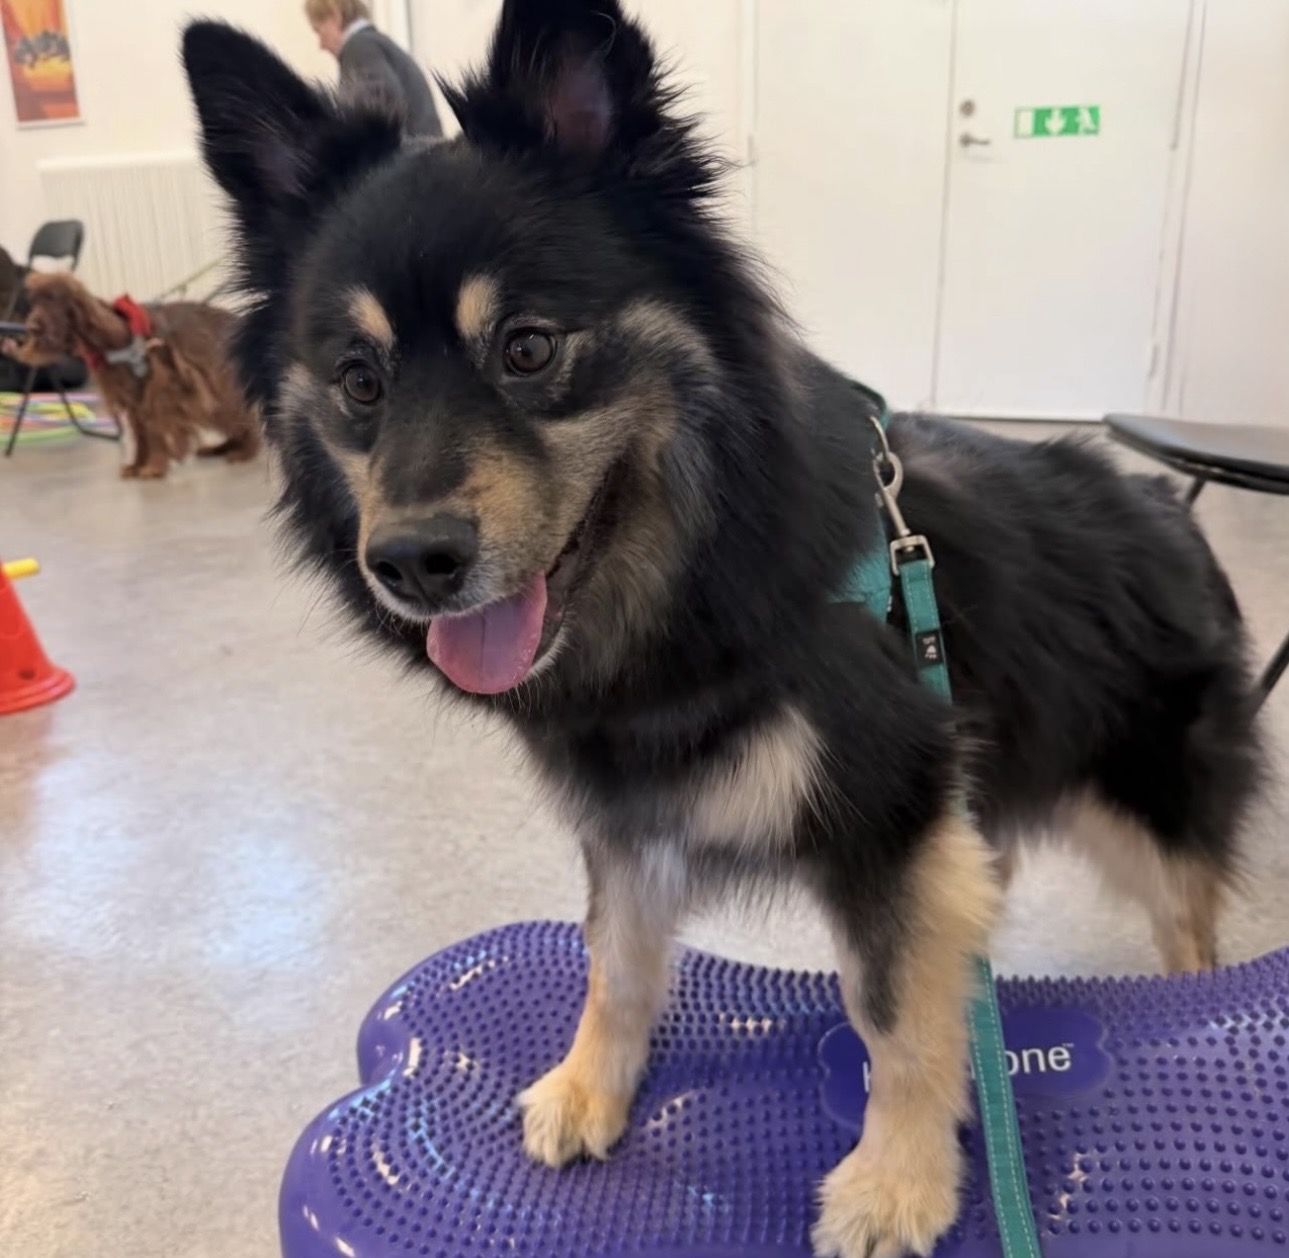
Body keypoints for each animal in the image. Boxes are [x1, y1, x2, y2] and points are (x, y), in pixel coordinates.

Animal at [8, 271, 258, 477]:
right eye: (33, 302)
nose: (31, 328)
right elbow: (140, 433)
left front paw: (154, 466)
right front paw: (136, 465)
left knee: (241, 416)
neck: (112, 338)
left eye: (53, 298)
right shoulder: (133, 398)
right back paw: (221, 447)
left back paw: (245, 451)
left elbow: (154, 428)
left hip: (221, 383)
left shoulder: (157, 391)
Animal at [183, 5, 1264, 1255]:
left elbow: (893, 1012)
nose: (410, 564)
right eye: (359, 379)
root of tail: (1162, 504)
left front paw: (895, 1181)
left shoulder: (887, 821)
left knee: (1187, 927)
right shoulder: (625, 815)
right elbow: (615, 959)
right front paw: (589, 1088)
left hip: (1147, 810)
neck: (690, 594)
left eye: (528, 347)